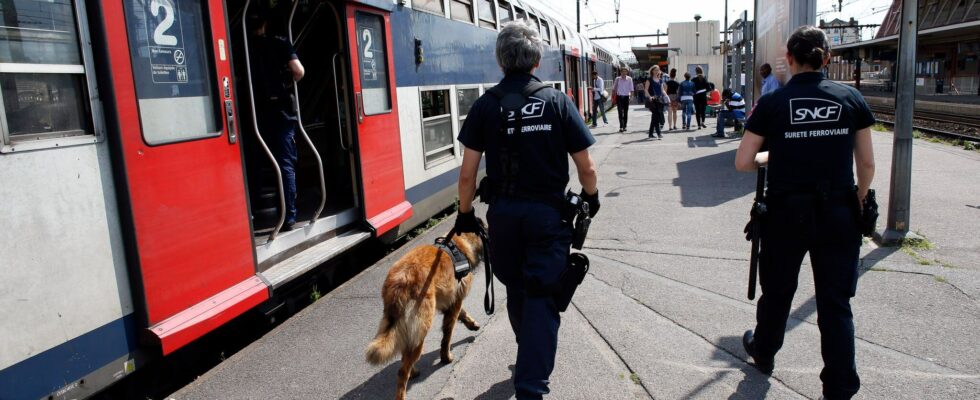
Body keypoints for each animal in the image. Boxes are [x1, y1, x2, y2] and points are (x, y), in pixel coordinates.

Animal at [366, 223, 484, 398]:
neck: (459, 244)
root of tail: (401, 282)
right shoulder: (455, 303)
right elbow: (447, 336)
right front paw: (446, 357)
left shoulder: (450, 301)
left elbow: (462, 314)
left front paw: (472, 324)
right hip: (421, 328)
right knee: (402, 370)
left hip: (400, 325)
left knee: (405, 356)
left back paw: (413, 371)